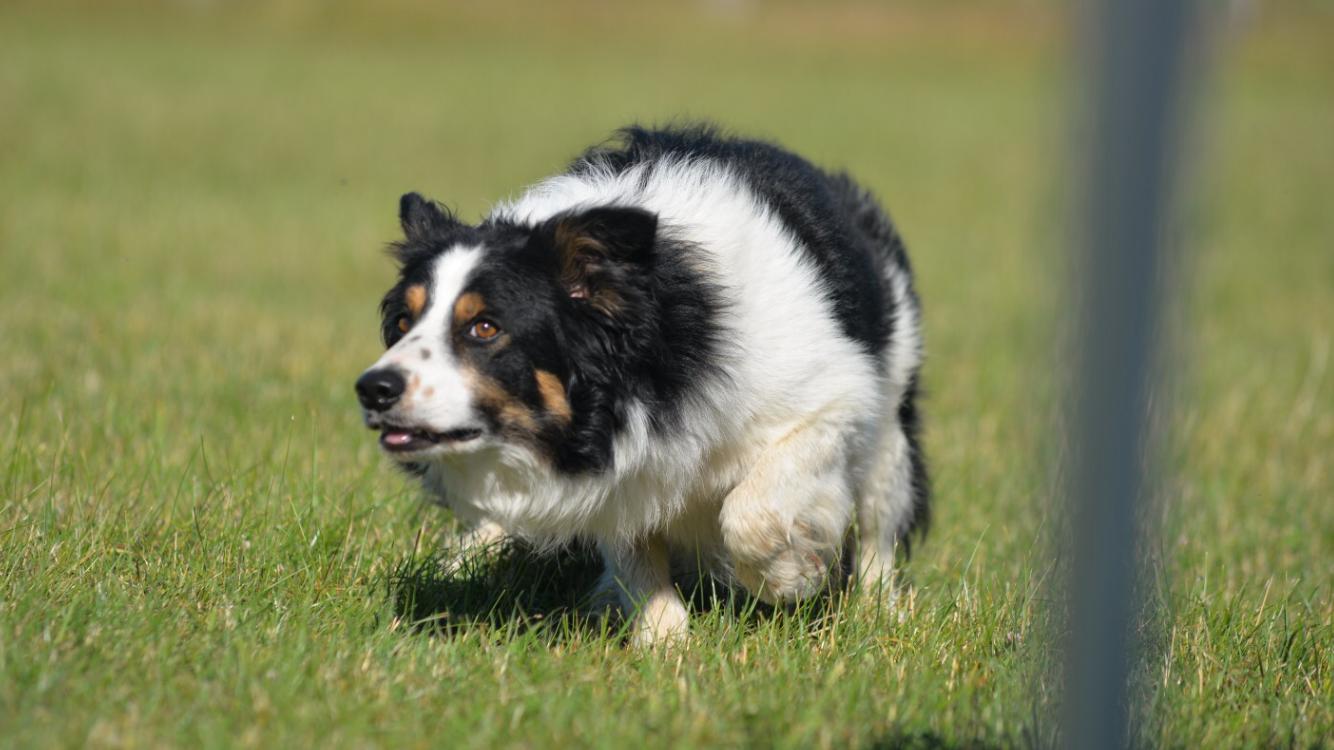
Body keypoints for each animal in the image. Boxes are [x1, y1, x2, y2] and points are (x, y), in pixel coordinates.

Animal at [360, 125, 933, 640]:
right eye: (404, 323)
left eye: (485, 327)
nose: (372, 388)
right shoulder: (617, 468)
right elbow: (633, 549)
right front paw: (665, 643)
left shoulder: (837, 397)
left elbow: (749, 514)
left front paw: (790, 577)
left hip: (890, 418)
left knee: (880, 522)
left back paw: (879, 610)